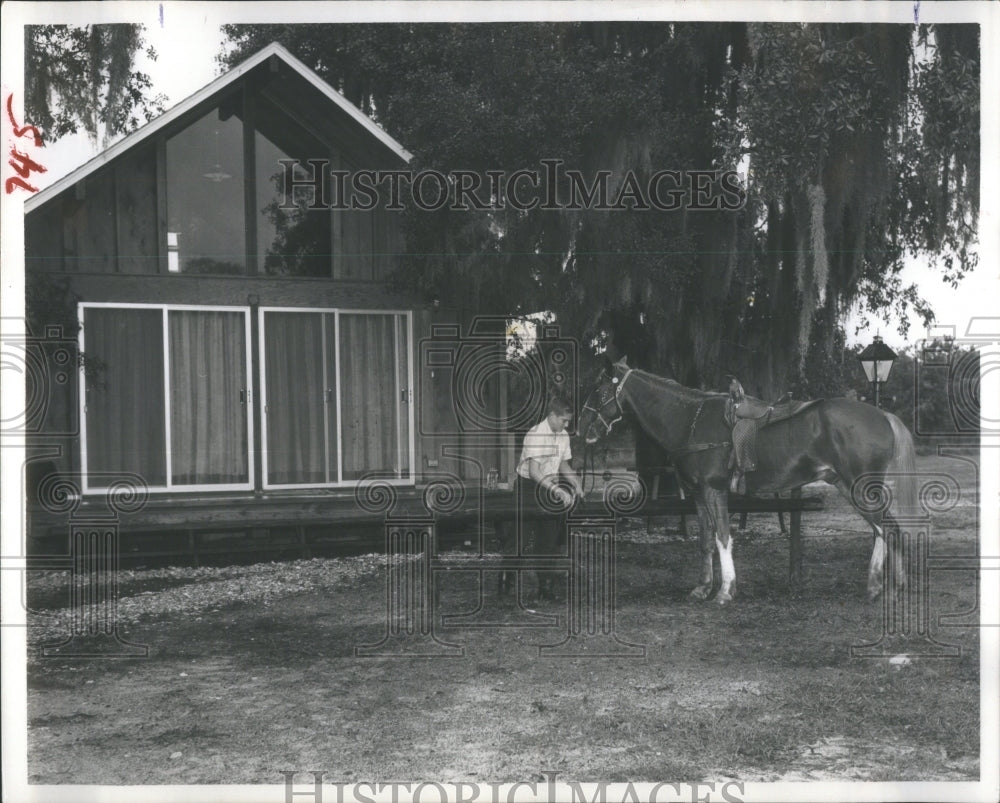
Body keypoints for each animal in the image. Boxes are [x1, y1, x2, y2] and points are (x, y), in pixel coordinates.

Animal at [576, 354, 916, 608]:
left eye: (599, 391)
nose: (582, 429)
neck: (689, 421)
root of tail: (883, 416)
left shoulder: (714, 491)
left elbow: (723, 537)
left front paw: (725, 591)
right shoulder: (698, 495)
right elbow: (704, 541)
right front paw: (702, 588)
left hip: (861, 488)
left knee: (888, 528)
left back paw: (894, 587)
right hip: (850, 488)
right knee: (880, 530)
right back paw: (875, 586)